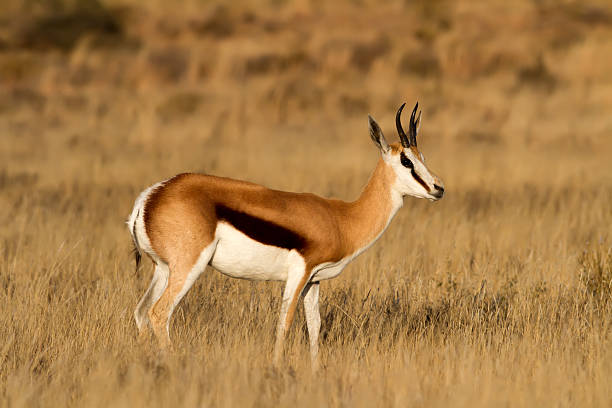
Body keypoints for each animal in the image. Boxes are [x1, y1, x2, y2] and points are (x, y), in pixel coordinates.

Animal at [128, 101, 444, 366]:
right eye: (406, 161)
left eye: (422, 157)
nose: (438, 188)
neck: (342, 218)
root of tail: (151, 196)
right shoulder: (299, 273)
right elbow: (285, 323)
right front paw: (277, 369)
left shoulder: (314, 281)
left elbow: (314, 326)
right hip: (188, 267)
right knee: (159, 313)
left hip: (163, 269)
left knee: (142, 312)